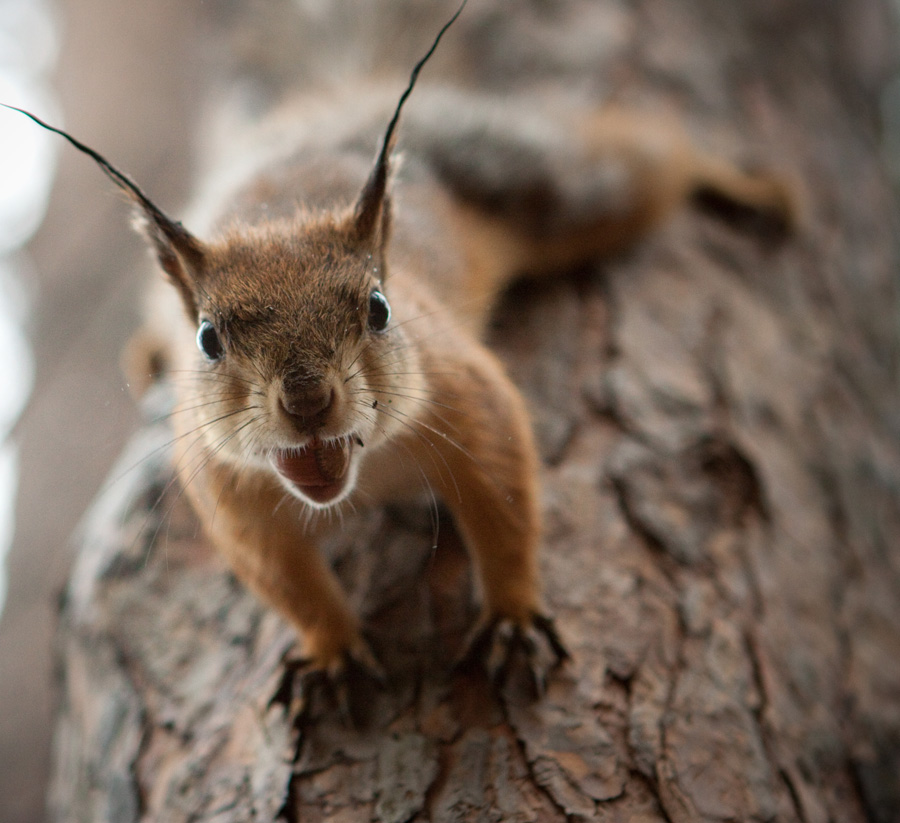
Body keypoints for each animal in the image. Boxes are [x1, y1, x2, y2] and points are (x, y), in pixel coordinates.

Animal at [5, 6, 796, 700]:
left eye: (380, 309)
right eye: (207, 338)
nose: (307, 399)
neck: (361, 474)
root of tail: (339, 104)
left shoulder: (467, 393)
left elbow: (507, 506)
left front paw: (511, 617)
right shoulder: (224, 485)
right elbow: (282, 577)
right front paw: (332, 650)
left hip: (554, 186)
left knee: (649, 157)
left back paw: (744, 184)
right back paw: (144, 348)